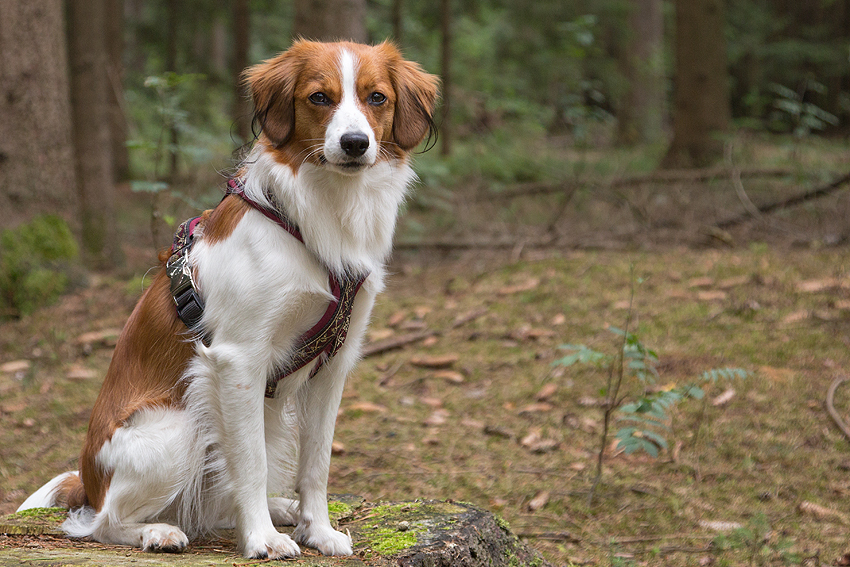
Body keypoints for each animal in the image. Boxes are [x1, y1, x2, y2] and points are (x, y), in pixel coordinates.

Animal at [17, 42, 440, 560]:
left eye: (376, 97)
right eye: (319, 98)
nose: (355, 143)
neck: (315, 216)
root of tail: (89, 482)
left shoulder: (333, 365)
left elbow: (316, 463)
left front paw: (317, 530)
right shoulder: (239, 359)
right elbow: (251, 463)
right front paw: (261, 539)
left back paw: (279, 509)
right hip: (180, 428)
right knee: (102, 523)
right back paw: (159, 531)